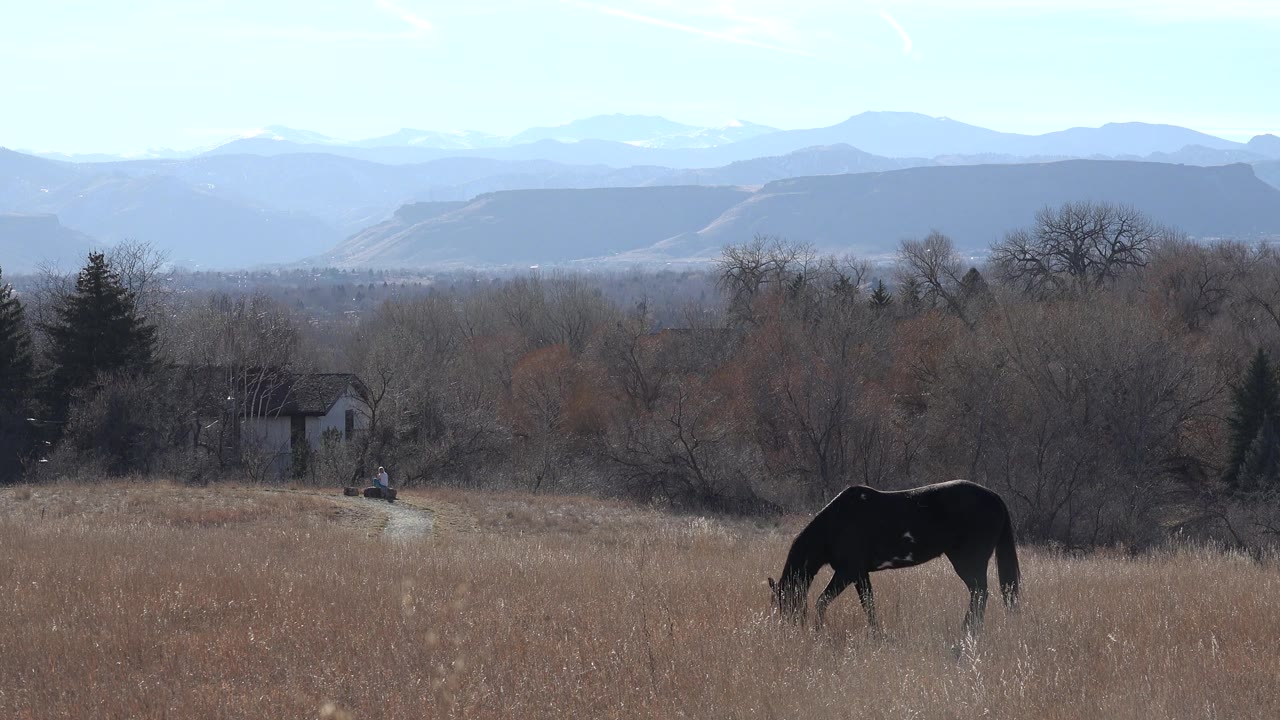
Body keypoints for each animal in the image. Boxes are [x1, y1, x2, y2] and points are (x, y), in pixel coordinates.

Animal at [768, 480, 1020, 637]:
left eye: (784, 600)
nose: (788, 630)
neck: (836, 523)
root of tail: (995, 497)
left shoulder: (847, 572)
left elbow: (823, 601)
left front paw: (819, 630)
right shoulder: (860, 574)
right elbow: (868, 605)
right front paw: (876, 634)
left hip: (968, 561)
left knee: (979, 593)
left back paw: (968, 630)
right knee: (979, 594)